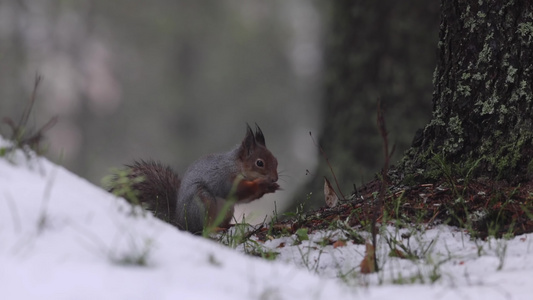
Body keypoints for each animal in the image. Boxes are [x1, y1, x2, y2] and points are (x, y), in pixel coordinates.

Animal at [110, 124, 280, 234]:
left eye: (276, 160)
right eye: (259, 163)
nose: (275, 178)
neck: (235, 166)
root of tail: (180, 222)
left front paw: (271, 187)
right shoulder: (223, 178)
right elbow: (236, 191)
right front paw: (262, 185)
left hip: (227, 209)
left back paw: (228, 226)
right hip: (203, 202)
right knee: (203, 228)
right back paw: (215, 228)